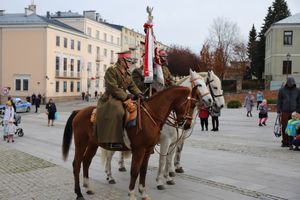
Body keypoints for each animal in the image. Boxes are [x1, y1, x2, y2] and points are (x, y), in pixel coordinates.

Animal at [62, 86, 197, 200]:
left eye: (195, 105)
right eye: (191, 104)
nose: (187, 125)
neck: (151, 115)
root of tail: (79, 111)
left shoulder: (148, 150)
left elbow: (143, 170)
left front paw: (143, 192)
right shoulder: (140, 150)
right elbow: (135, 171)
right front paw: (132, 194)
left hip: (92, 144)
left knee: (86, 161)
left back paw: (88, 187)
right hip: (81, 143)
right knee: (77, 164)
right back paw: (79, 193)